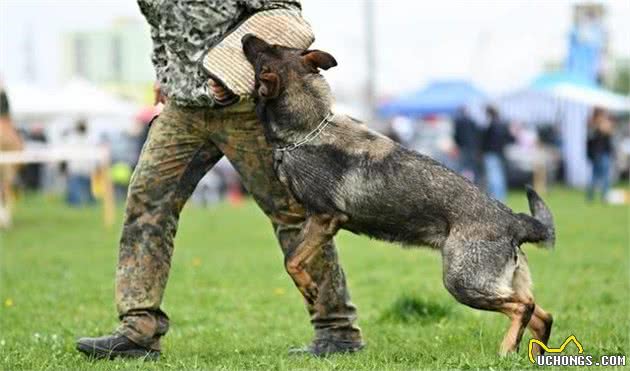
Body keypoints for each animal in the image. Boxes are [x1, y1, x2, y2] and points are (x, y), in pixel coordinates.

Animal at [242, 35, 556, 358]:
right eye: (275, 45)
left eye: (267, 51)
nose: (244, 36)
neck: (306, 130)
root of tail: (514, 220)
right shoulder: (316, 220)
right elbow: (293, 255)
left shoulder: (324, 218)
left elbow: (291, 259)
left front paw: (308, 288)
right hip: (495, 282)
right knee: (542, 315)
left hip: (462, 282)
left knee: (524, 307)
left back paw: (506, 349)